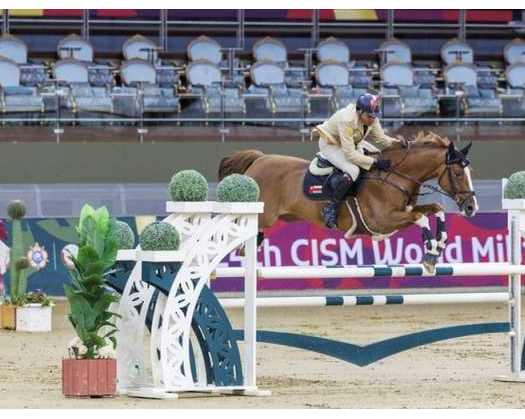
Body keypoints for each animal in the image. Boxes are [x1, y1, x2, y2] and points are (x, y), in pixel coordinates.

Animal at [218, 133, 478, 274]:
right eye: (457, 173)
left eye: (469, 171)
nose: (471, 207)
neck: (394, 175)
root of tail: (259, 159)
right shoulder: (382, 221)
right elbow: (421, 217)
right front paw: (430, 253)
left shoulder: (402, 212)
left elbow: (437, 209)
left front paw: (439, 245)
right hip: (258, 216)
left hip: (264, 224)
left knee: (245, 246)